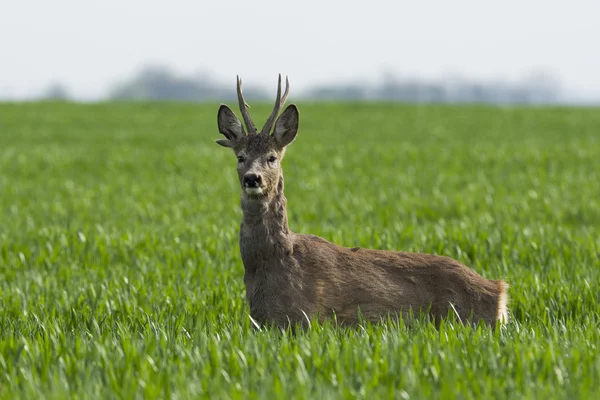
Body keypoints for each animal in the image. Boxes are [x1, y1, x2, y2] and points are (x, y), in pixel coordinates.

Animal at [213, 74, 508, 328]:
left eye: (272, 157)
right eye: (241, 157)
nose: (252, 178)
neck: (274, 260)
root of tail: (499, 290)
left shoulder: (302, 318)